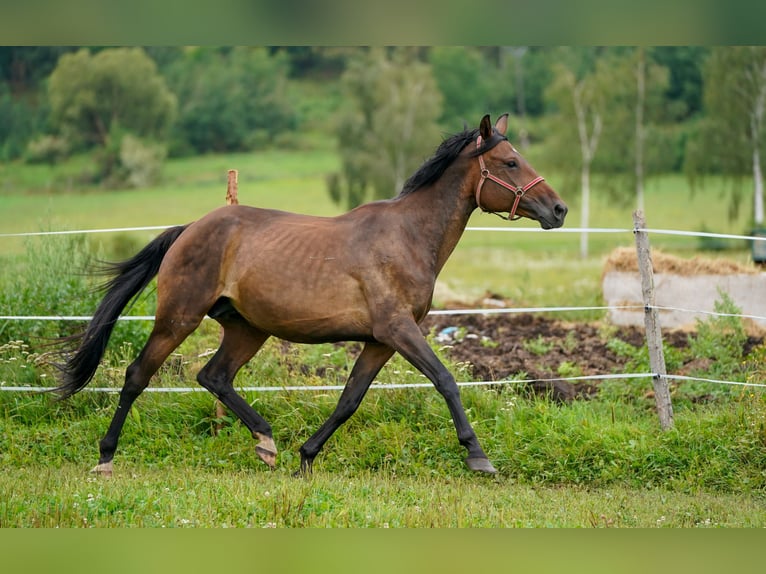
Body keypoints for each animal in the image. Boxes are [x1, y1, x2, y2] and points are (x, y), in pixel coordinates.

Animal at [57, 115, 568, 480]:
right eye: (510, 162)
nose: (559, 210)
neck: (407, 237)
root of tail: (190, 229)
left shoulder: (379, 341)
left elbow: (348, 401)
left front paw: (306, 457)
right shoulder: (398, 329)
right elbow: (445, 380)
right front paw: (479, 457)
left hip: (247, 329)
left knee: (214, 376)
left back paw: (266, 443)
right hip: (178, 317)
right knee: (137, 375)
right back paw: (105, 458)